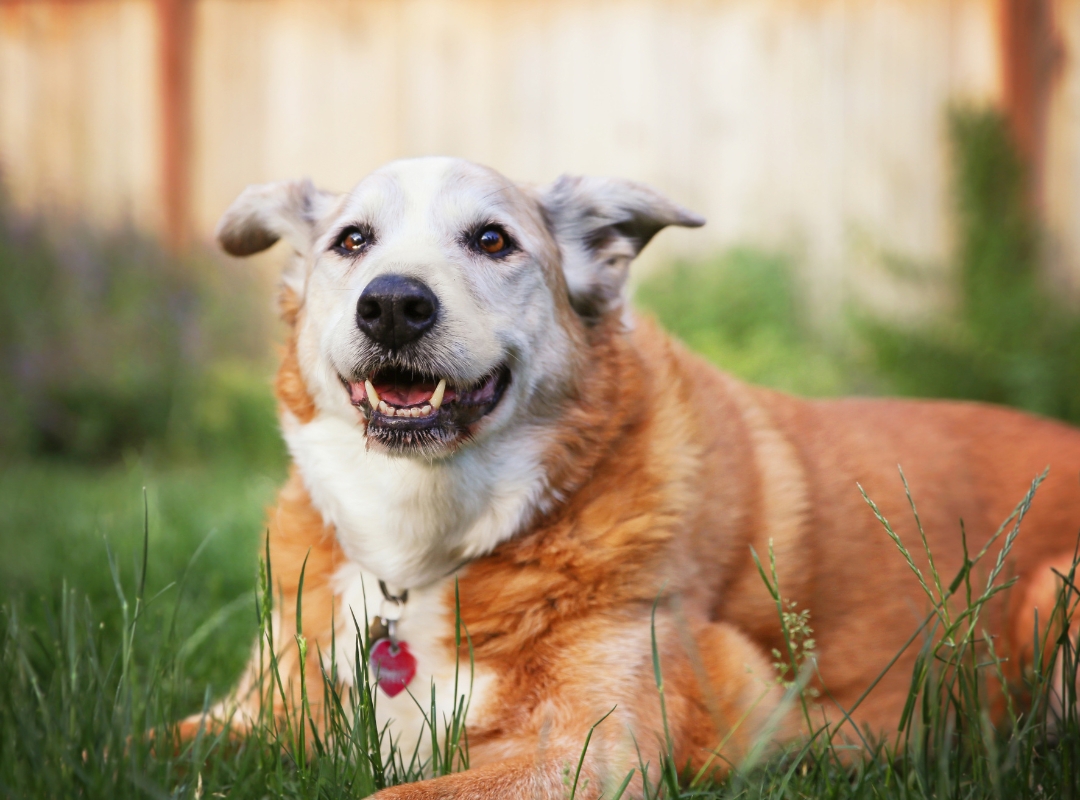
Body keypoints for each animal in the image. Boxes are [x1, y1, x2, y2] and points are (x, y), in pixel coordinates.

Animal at [190, 156, 1080, 794]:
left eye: (492, 240)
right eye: (352, 242)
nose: (393, 305)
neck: (423, 554)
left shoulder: (589, 752)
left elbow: (391, 793)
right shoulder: (249, 713)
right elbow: (159, 743)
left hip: (1053, 600)